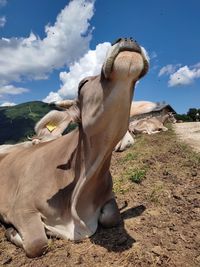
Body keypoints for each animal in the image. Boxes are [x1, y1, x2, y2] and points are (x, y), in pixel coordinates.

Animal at [0, 37, 149, 258]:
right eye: (82, 84)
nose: (128, 39)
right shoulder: (22, 208)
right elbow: (37, 243)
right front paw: (12, 232)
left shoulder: (108, 197)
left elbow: (112, 217)